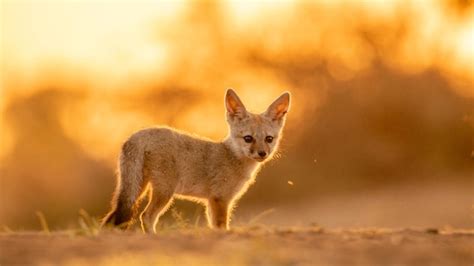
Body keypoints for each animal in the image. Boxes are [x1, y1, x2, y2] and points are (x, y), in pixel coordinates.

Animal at [102, 88, 290, 232]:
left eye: (269, 139)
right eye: (248, 138)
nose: (262, 153)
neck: (231, 157)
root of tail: (137, 135)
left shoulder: (211, 201)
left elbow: (214, 227)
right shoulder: (220, 199)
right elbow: (221, 227)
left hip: (138, 189)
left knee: (112, 217)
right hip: (164, 192)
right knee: (146, 216)